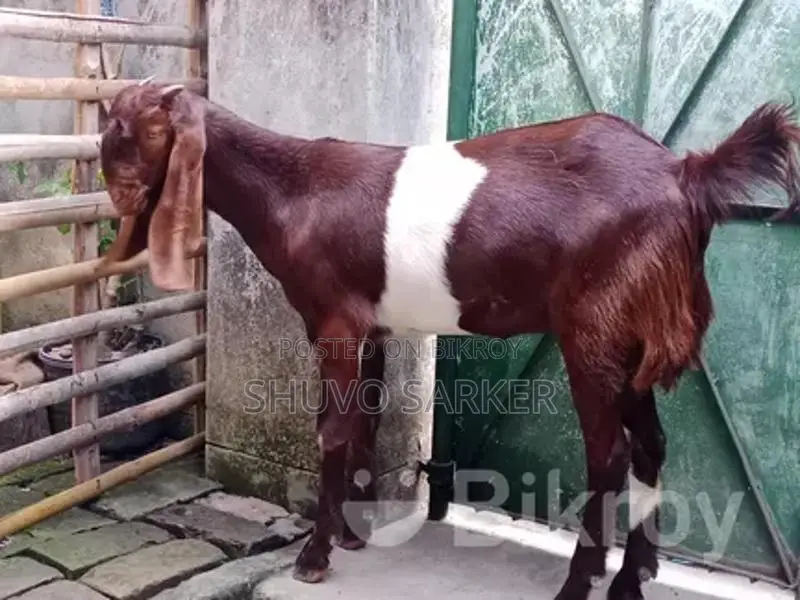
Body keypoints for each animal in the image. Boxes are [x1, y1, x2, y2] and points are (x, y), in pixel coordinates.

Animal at [97, 82, 800, 600]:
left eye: (136, 132)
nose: (118, 201)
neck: (294, 190)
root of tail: (686, 174)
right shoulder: (372, 326)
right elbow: (365, 421)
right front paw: (353, 534)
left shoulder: (334, 323)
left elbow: (331, 430)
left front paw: (315, 554)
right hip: (632, 336)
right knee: (651, 442)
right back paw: (635, 576)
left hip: (594, 328)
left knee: (610, 454)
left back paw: (582, 583)